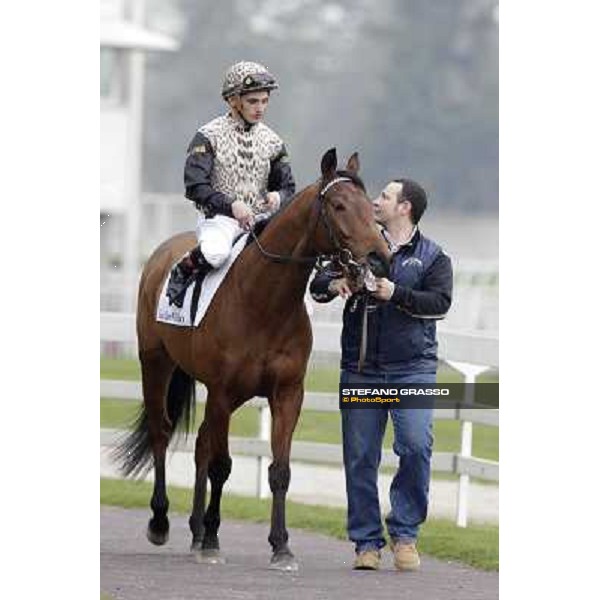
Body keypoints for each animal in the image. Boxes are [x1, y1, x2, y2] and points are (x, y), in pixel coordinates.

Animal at [113, 148, 390, 568]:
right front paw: (214, 540)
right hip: (156, 363)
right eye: (340, 205)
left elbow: (279, 470)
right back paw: (162, 522)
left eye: (371, 206)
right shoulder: (223, 391)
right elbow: (222, 466)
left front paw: (281, 546)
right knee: (162, 432)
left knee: (201, 442)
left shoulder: (287, 393)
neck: (264, 302)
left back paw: (195, 531)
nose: (379, 259)